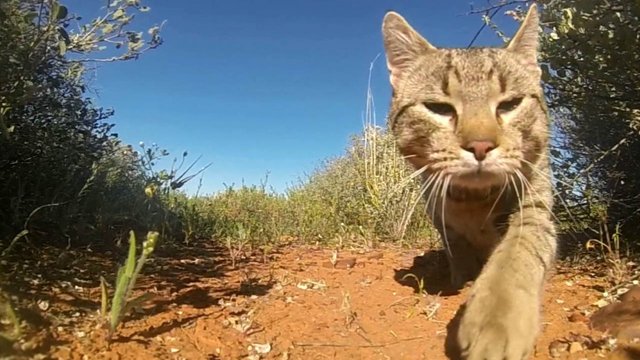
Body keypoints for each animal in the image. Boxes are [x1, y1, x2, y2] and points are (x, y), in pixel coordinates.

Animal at [382, 5, 556, 360]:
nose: (480, 146)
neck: (473, 201)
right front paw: (460, 280)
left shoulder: (535, 205)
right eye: (438, 108)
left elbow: (517, 254)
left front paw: (496, 319)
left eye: (510, 104)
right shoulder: (441, 218)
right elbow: (457, 251)